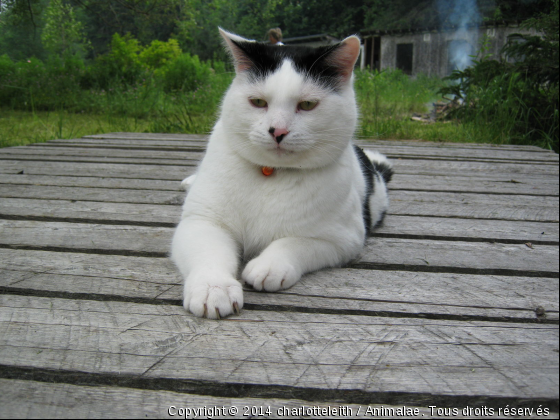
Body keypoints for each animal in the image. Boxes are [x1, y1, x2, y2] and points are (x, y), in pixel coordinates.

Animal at [171, 28, 394, 318]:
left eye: (307, 104)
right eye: (257, 102)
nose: (278, 131)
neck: (270, 174)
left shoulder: (342, 239)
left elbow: (293, 243)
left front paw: (269, 266)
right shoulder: (202, 222)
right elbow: (209, 253)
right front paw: (213, 288)